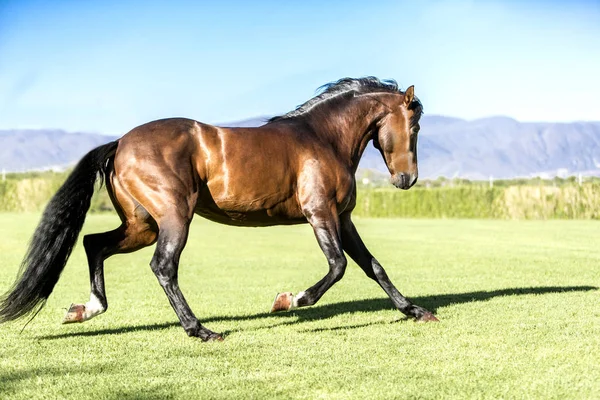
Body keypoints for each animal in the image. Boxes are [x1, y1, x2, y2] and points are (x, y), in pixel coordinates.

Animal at [0, 76, 436, 340]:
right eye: (414, 126)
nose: (407, 179)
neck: (322, 138)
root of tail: (120, 142)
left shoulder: (342, 219)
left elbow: (373, 266)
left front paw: (415, 310)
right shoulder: (320, 215)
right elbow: (339, 266)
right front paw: (289, 300)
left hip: (142, 226)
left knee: (94, 243)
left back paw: (85, 310)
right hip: (174, 218)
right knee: (163, 267)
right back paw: (200, 330)